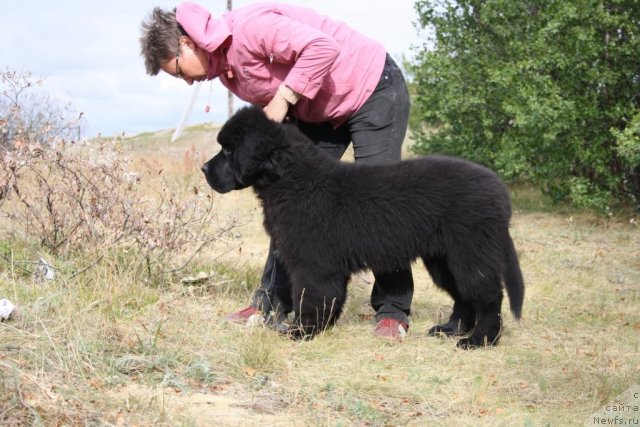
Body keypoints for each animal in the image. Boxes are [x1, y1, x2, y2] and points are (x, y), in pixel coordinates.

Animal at [204, 105, 524, 350]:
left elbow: (311, 299)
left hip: (470, 254)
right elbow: (327, 299)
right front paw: (321, 328)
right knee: (463, 296)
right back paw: (451, 329)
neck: (294, 180)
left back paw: (479, 340)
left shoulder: (313, 264)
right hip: (443, 260)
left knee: (489, 297)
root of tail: (501, 193)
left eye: (228, 151)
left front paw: (302, 332)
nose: (204, 169)